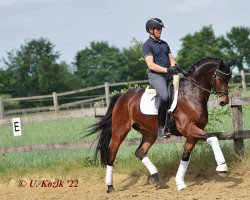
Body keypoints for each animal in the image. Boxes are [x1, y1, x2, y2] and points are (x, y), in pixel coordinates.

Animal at [86, 57, 236, 192]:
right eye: (220, 78)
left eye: (229, 78)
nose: (224, 101)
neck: (191, 94)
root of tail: (122, 96)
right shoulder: (188, 128)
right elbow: (213, 138)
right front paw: (222, 168)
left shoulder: (193, 133)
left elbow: (185, 156)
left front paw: (180, 183)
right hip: (120, 130)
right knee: (111, 154)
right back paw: (110, 187)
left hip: (149, 133)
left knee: (140, 152)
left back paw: (154, 177)